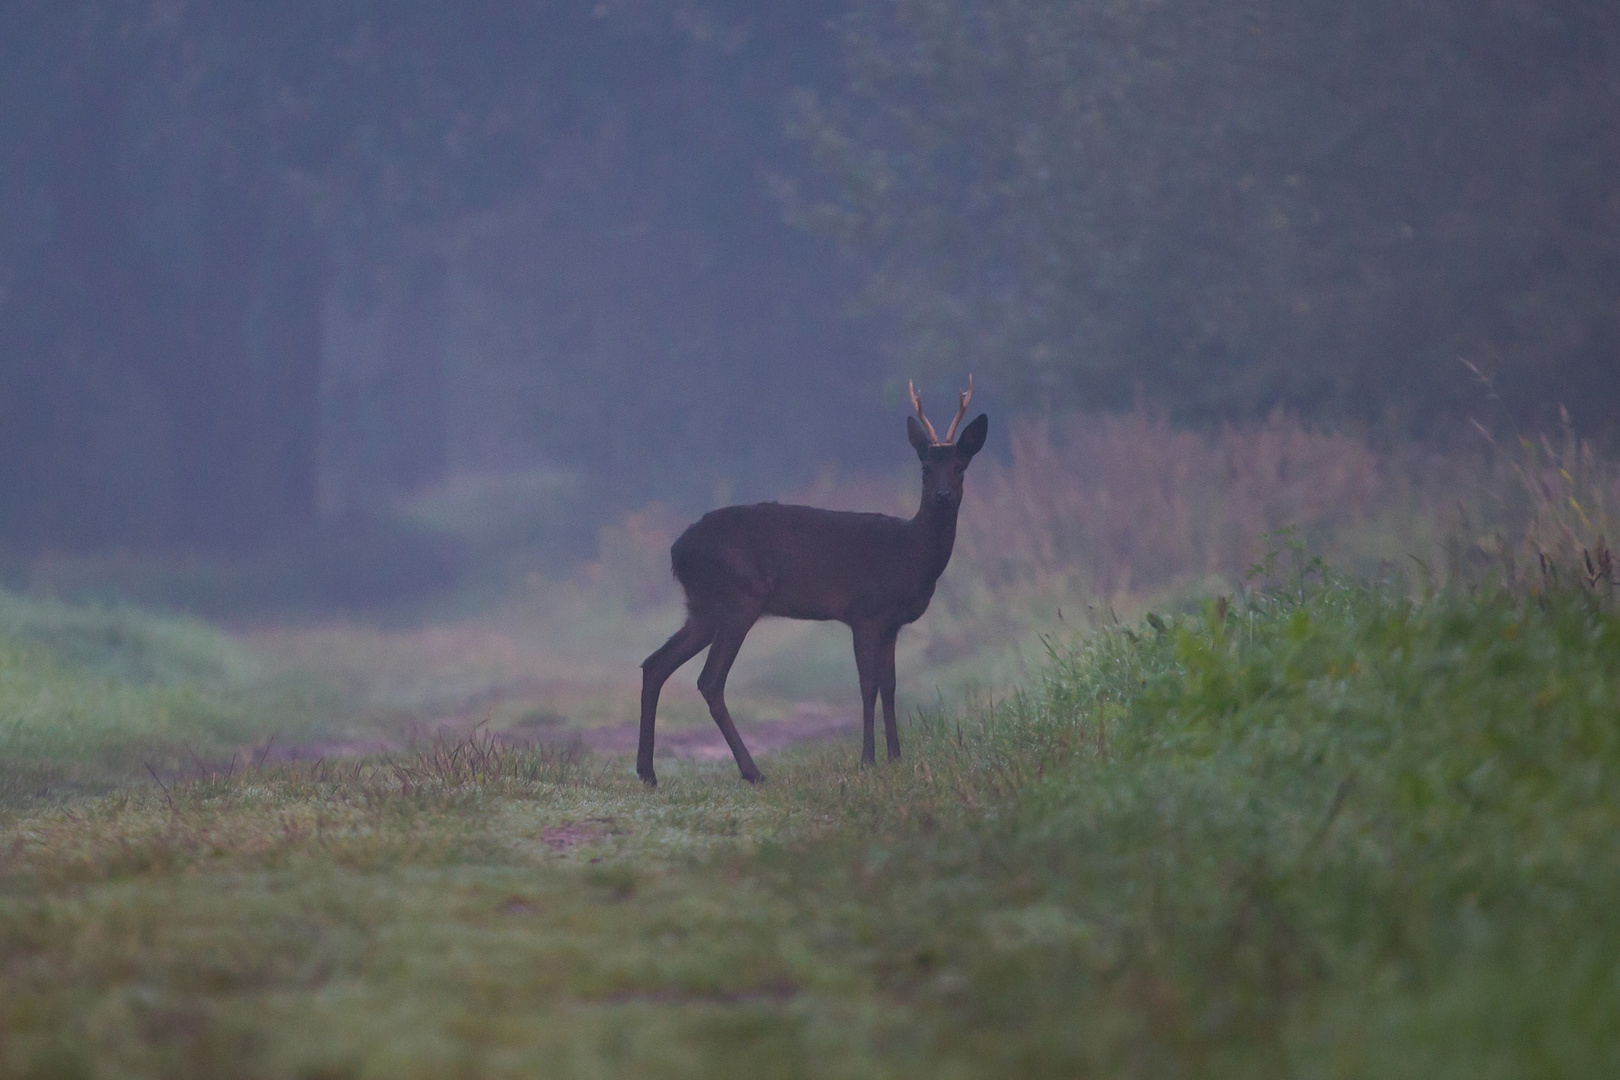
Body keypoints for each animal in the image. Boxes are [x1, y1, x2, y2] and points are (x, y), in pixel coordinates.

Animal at [631, 378, 984, 786]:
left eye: (960, 468)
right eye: (925, 469)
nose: (943, 495)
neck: (911, 553)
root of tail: (677, 551)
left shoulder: (891, 624)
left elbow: (891, 686)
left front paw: (896, 758)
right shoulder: (865, 611)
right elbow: (868, 685)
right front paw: (868, 760)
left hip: (703, 609)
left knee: (655, 664)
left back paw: (648, 773)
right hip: (738, 599)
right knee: (709, 681)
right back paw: (753, 772)